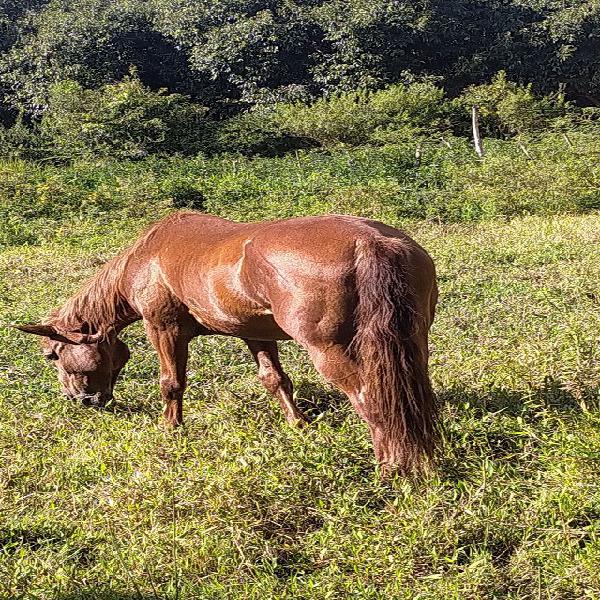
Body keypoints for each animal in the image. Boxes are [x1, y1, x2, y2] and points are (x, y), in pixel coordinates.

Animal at [16, 211, 438, 474]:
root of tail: (370, 242)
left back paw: (391, 467)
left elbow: (171, 383)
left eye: (53, 355)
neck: (148, 257)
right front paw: (297, 424)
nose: (83, 401)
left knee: (372, 401)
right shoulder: (255, 332)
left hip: (332, 352)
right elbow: (275, 380)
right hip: (411, 345)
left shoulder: (164, 327)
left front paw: (171, 429)